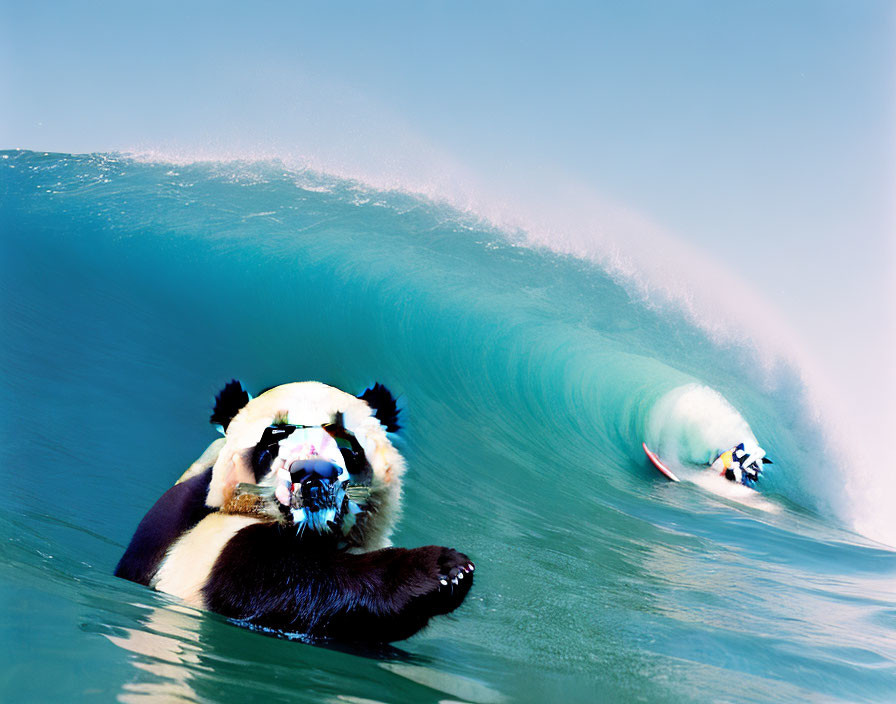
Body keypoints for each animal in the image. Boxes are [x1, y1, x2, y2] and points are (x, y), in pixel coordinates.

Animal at [117, 382, 476, 640]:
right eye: (273, 440)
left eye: (347, 444)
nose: (313, 474)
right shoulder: (210, 541)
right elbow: (293, 586)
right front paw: (443, 568)